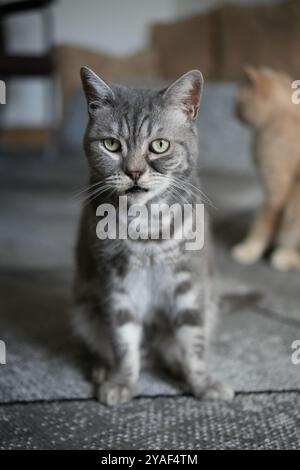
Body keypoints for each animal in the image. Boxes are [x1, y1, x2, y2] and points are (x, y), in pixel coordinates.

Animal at [73, 66, 234, 404]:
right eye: (111, 144)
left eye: (159, 145)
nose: (134, 171)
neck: (145, 224)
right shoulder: (116, 281)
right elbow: (123, 340)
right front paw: (122, 381)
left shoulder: (189, 280)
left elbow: (193, 338)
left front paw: (202, 381)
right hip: (84, 312)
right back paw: (102, 368)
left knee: (169, 349)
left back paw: (174, 365)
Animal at [233, 66, 300, 272]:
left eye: (238, 101)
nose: (233, 111)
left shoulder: (275, 192)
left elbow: (262, 223)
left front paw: (250, 250)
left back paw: (284, 256)